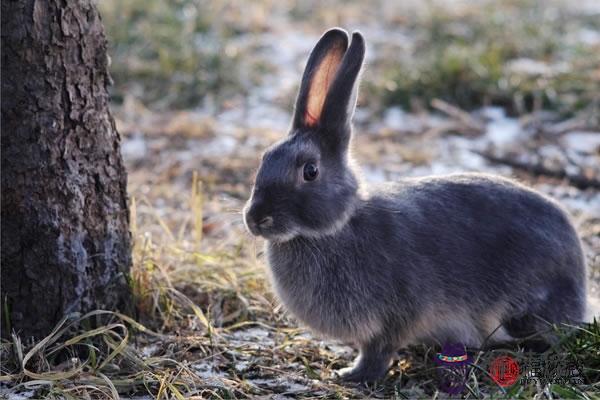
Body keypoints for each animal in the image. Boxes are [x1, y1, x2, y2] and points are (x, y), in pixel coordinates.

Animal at [243, 26, 584, 382]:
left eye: (310, 171)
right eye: (265, 158)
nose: (255, 219)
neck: (338, 227)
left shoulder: (397, 314)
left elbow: (379, 350)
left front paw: (352, 375)